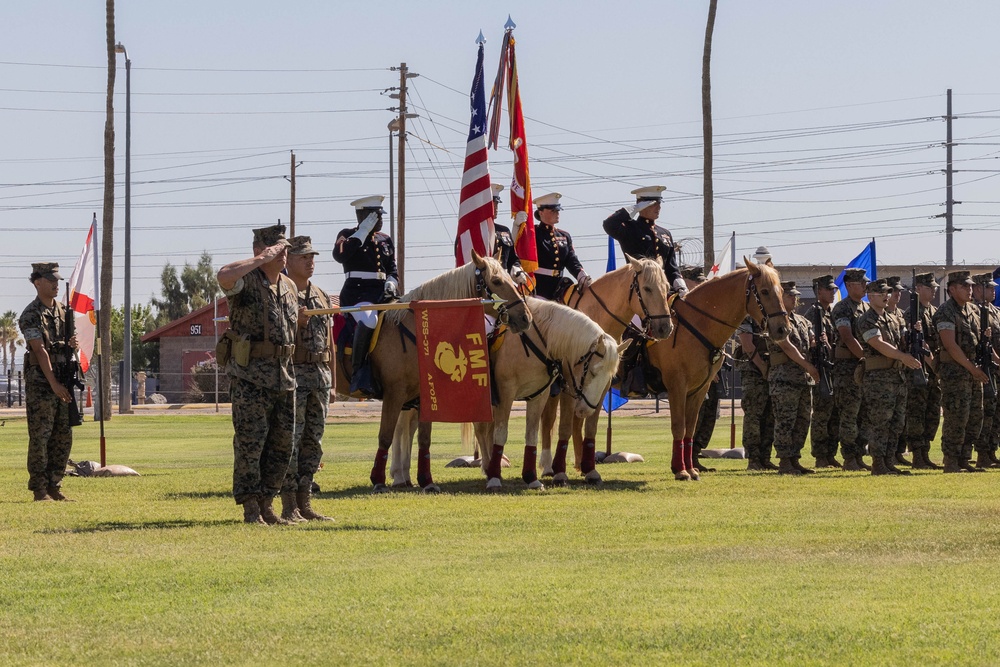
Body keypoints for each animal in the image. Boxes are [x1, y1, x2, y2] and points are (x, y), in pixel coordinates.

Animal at [336, 250, 532, 490]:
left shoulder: (423, 396)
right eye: (496, 281)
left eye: (511, 279)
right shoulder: (394, 393)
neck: (417, 330)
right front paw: (379, 480)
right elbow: (385, 435)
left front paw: (426, 481)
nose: (526, 317)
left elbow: (424, 438)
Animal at [540, 256, 672, 486]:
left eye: (667, 287)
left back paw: (579, 463)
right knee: (548, 421)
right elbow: (564, 425)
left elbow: (590, 425)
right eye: (647, 288)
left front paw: (590, 470)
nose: (665, 327)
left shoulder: (602, 385)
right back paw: (549, 466)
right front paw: (560, 473)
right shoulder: (568, 385)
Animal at [652, 258, 792, 482]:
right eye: (764, 291)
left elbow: (690, 427)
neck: (696, 324)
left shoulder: (699, 389)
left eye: (780, 290)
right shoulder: (677, 386)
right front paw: (681, 470)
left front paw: (690, 468)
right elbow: (679, 426)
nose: (783, 329)